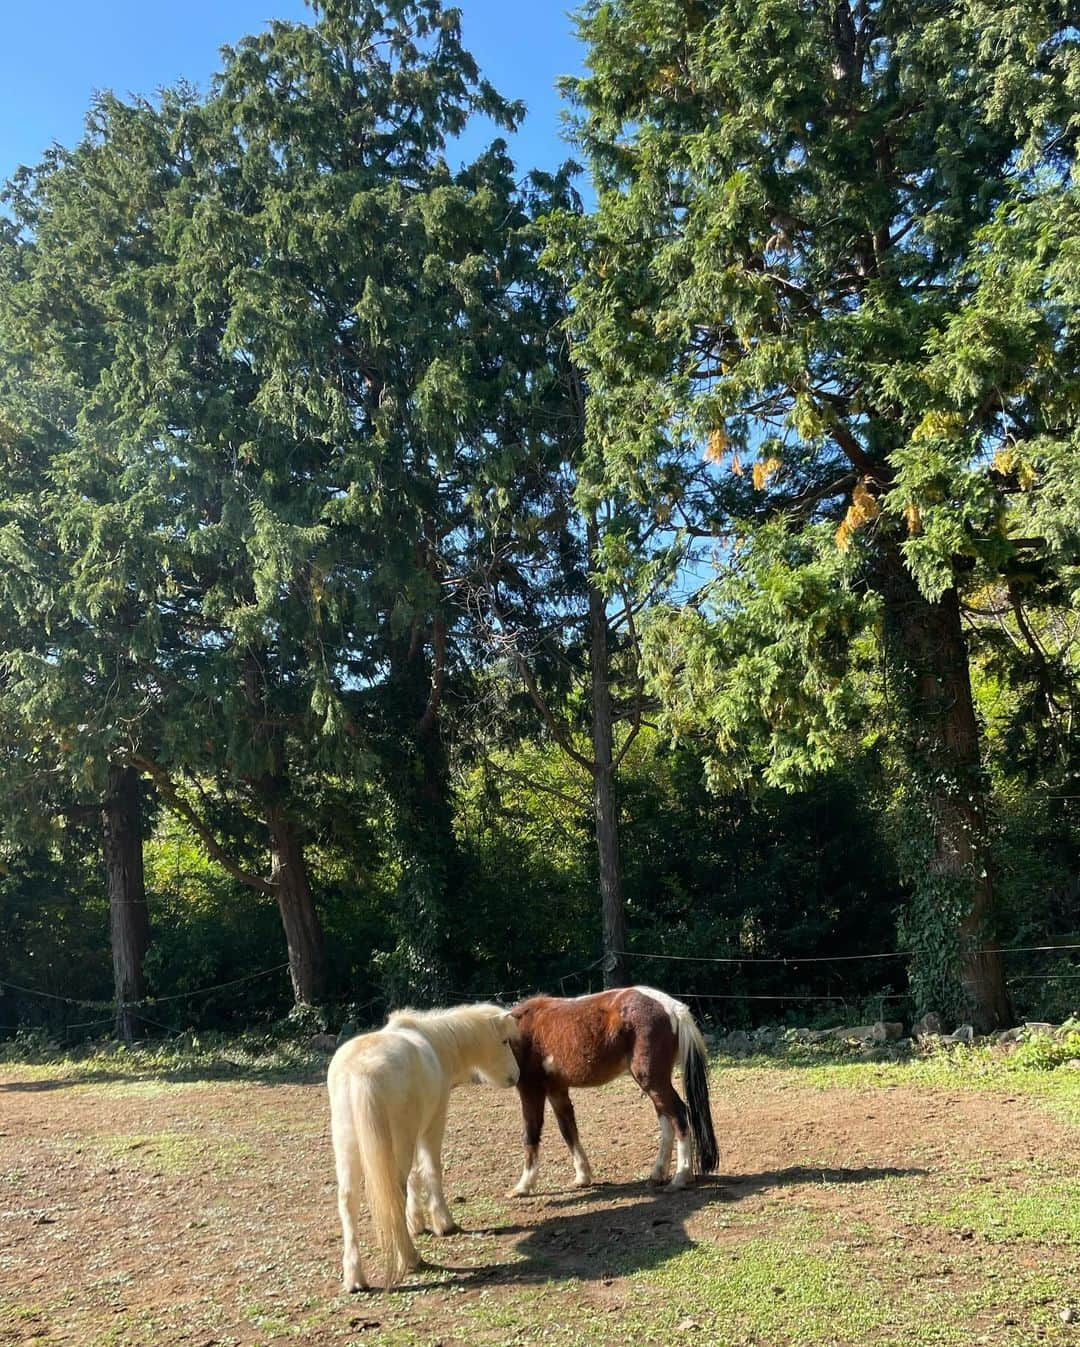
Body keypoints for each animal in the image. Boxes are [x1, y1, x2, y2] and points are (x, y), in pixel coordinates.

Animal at [324, 1007, 517, 1287]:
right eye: (504, 1041)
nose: (516, 1076)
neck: (434, 1042)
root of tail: (360, 1072)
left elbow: (415, 1176)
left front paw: (416, 1222)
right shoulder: (431, 1125)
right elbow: (431, 1170)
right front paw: (443, 1223)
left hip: (349, 1147)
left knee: (349, 1201)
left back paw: (355, 1278)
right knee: (395, 1191)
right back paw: (411, 1258)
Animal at [506, 986, 716, 1196]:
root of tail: (673, 1007)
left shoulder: (530, 1089)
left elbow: (531, 1133)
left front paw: (523, 1186)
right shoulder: (556, 1089)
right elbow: (568, 1130)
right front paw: (582, 1177)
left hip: (652, 1080)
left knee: (679, 1115)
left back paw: (680, 1178)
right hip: (656, 1084)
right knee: (667, 1121)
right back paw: (657, 1175)